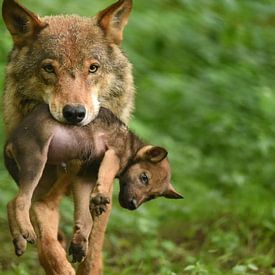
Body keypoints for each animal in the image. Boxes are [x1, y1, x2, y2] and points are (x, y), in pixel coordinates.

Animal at [1, 0, 135, 274]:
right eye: (49, 68)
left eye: (93, 68)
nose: (74, 113)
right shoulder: (43, 195)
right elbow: (46, 243)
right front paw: (59, 263)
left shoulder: (99, 193)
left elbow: (92, 250)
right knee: (18, 204)